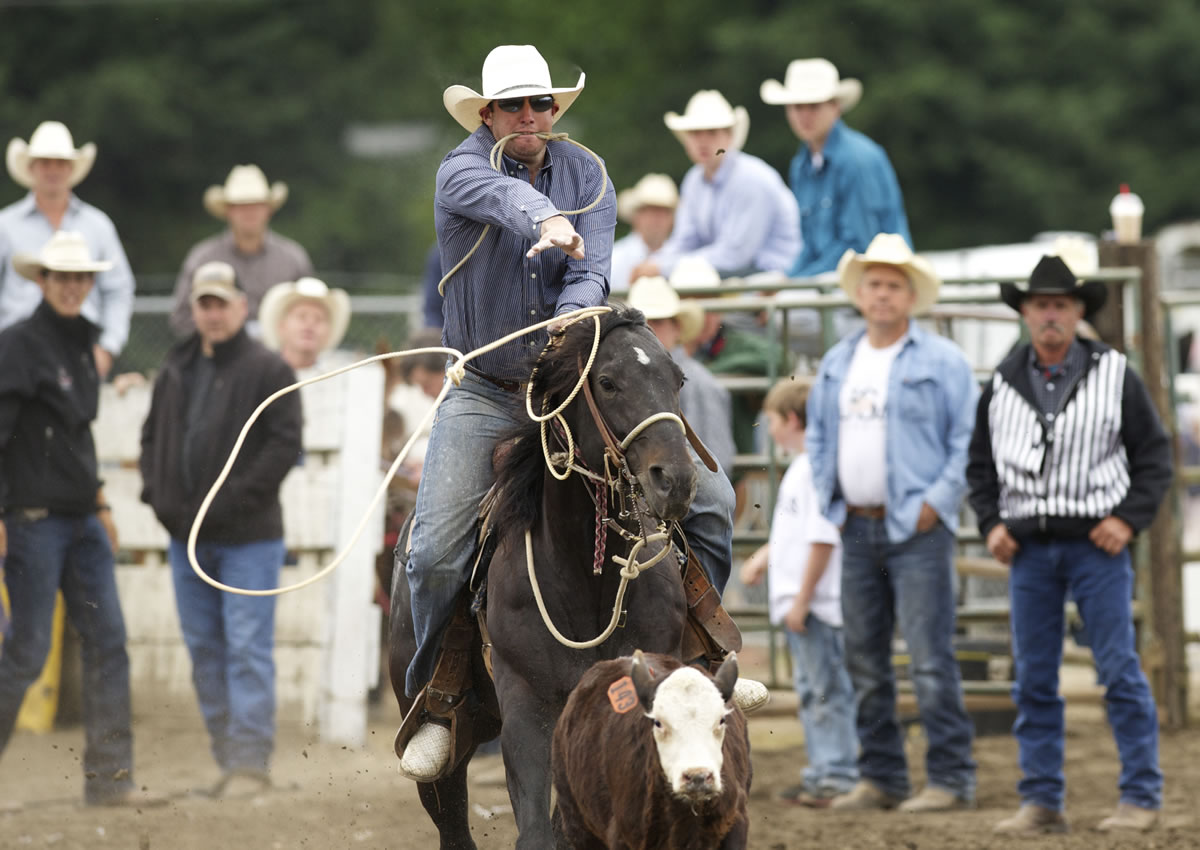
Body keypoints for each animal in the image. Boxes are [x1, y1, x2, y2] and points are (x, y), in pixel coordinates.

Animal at [388, 307, 700, 850]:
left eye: (677, 379)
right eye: (607, 382)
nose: (675, 480)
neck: (586, 582)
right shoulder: (528, 711)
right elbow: (536, 830)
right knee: (451, 817)